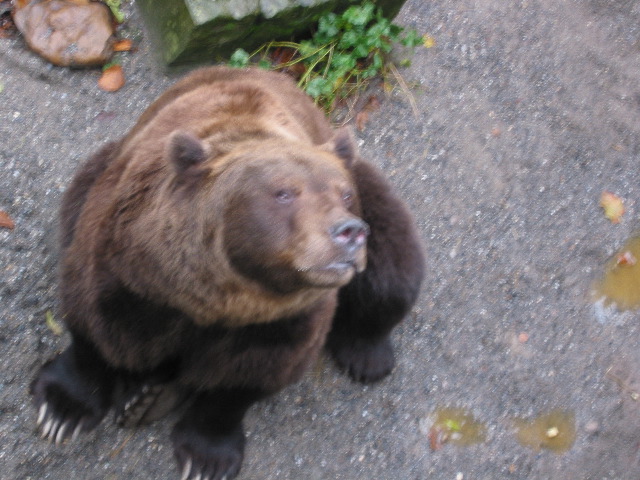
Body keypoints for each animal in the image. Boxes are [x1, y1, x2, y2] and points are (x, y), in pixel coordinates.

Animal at [31, 66, 425, 480]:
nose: (349, 231)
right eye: (284, 193)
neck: (219, 294)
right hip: (99, 168)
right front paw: (61, 410)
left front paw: (206, 457)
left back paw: (366, 356)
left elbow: (245, 378)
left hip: (374, 199)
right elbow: (96, 323)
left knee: (393, 272)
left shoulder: (282, 319)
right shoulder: (130, 265)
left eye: (343, 194)